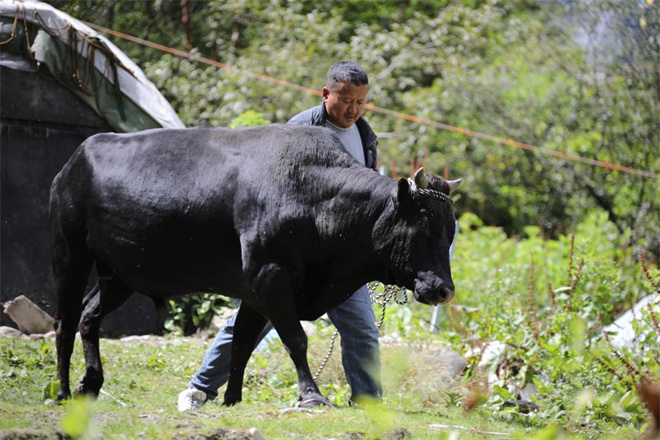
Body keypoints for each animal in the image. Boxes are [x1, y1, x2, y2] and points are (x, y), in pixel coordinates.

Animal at [51, 124, 458, 406]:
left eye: (451, 229)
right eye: (424, 223)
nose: (444, 290)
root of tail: (75, 159)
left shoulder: (255, 290)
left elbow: (242, 343)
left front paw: (233, 398)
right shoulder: (270, 275)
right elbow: (295, 338)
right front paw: (311, 395)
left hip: (117, 274)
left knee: (89, 317)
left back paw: (91, 383)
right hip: (70, 254)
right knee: (65, 322)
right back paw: (63, 389)